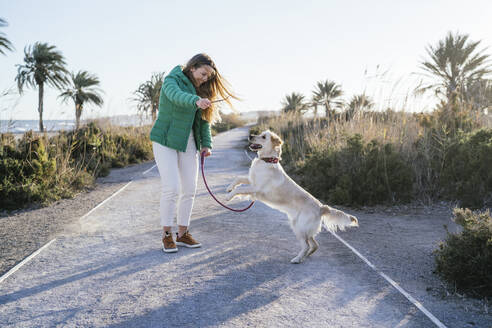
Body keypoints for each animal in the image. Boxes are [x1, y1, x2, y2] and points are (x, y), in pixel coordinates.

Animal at [226, 129, 358, 262]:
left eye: (263, 137)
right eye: (259, 134)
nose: (250, 136)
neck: (267, 160)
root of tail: (321, 207)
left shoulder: (256, 188)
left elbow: (240, 189)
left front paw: (228, 196)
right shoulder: (252, 181)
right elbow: (239, 179)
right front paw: (229, 188)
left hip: (299, 228)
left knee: (306, 245)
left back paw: (297, 259)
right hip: (301, 228)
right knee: (314, 244)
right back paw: (305, 256)